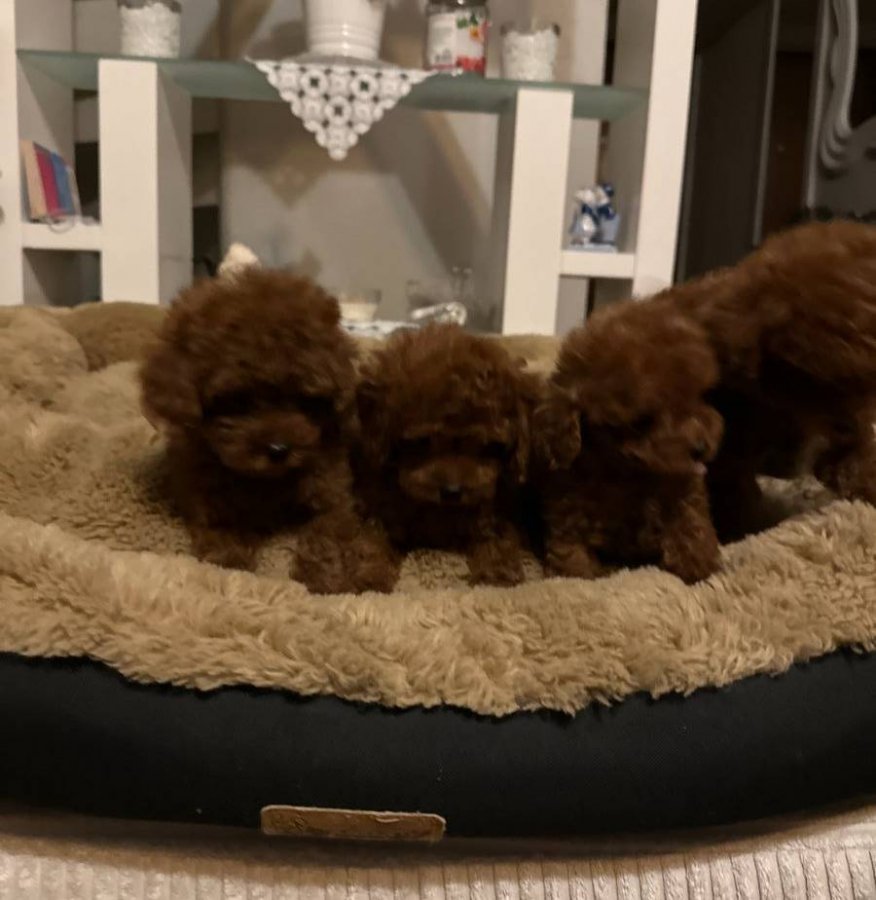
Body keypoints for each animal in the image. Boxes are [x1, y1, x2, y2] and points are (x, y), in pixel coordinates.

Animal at [140, 267, 398, 594]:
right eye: (238, 400)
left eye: (304, 399)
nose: (278, 450)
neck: (267, 480)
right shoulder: (205, 487)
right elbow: (219, 526)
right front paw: (227, 562)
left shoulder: (331, 482)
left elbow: (331, 526)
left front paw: (331, 577)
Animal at [355, 324, 537, 585]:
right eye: (420, 442)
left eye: (486, 445)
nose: (452, 492)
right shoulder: (382, 505)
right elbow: (373, 539)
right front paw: (370, 577)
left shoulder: (495, 508)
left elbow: (496, 537)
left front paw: (497, 574)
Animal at [535, 301, 724, 584]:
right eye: (641, 421)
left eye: (698, 396)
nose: (701, 449)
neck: (626, 473)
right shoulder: (568, 509)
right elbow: (571, 554)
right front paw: (575, 575)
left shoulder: (684, 487)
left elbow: (690, 519)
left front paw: (699, 563)